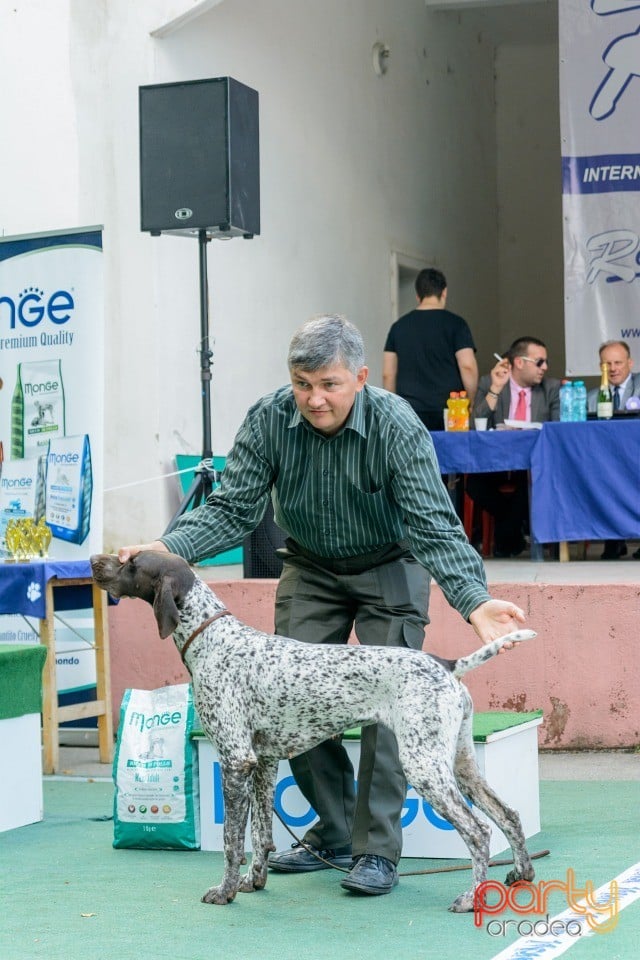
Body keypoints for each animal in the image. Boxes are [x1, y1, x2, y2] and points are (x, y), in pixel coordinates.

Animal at [90, 552, 536, 912]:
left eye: (132, 564)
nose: (94, 561)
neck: (213, 639)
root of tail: (445, 663)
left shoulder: (235, 761)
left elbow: (233, 841)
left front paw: (225, 891)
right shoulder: (263, 762)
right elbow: (261, 834)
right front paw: (255, 881)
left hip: (424, 766)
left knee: (478, 830)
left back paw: (470, 898)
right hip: (459, 763)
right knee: (509, 815)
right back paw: (521, 874)